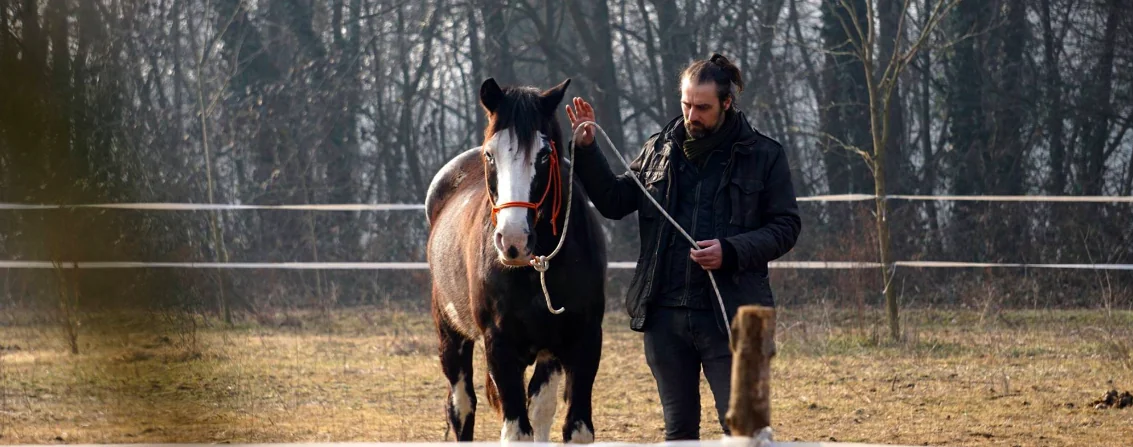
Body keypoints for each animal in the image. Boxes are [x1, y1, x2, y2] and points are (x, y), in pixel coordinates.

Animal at [424, 77, 608, 443]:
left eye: (544, 154)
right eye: (490, 154)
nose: (513, 241)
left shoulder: (585, 342)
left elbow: (574, 427)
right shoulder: (500, 348)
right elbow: (516, 431)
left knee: (540, 408)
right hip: (451, 336)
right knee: (461, 407)